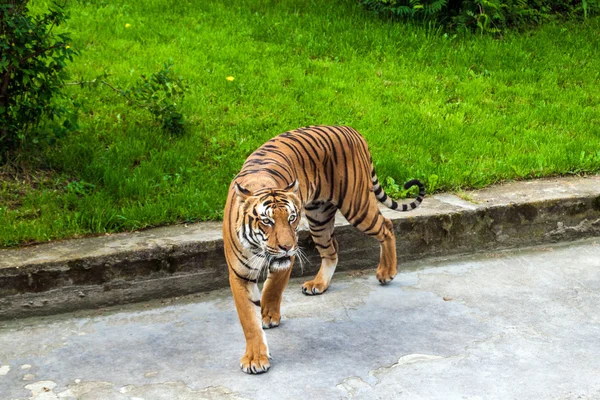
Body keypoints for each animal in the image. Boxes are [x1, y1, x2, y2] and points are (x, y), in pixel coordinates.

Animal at [223, 126, 424, 376]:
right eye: (267, 221)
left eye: (292, 218)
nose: (287, 246)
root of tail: (352, 130)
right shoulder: (239, 273)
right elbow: (248, 320)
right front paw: (255, 357)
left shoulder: (287, 258)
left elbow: (273, 287)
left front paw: (268, 315)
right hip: (319, 218)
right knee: (332, 250)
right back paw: (319, 284)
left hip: (356, 205)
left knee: (386, 226)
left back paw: (386, 272)